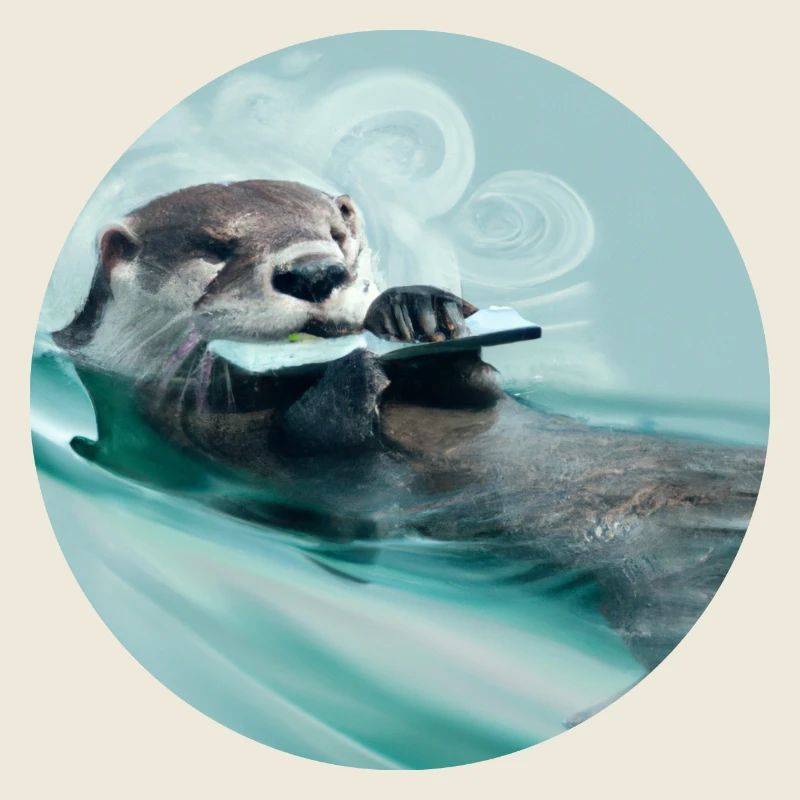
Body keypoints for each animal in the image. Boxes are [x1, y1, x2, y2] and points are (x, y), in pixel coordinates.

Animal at [53, 180, 765, 671]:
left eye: (337, 235)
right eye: (215, 248)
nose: (315, 271)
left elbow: (476, 395)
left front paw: (417, 311)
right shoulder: (203, 436)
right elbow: (326, 462)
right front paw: (352, 375)